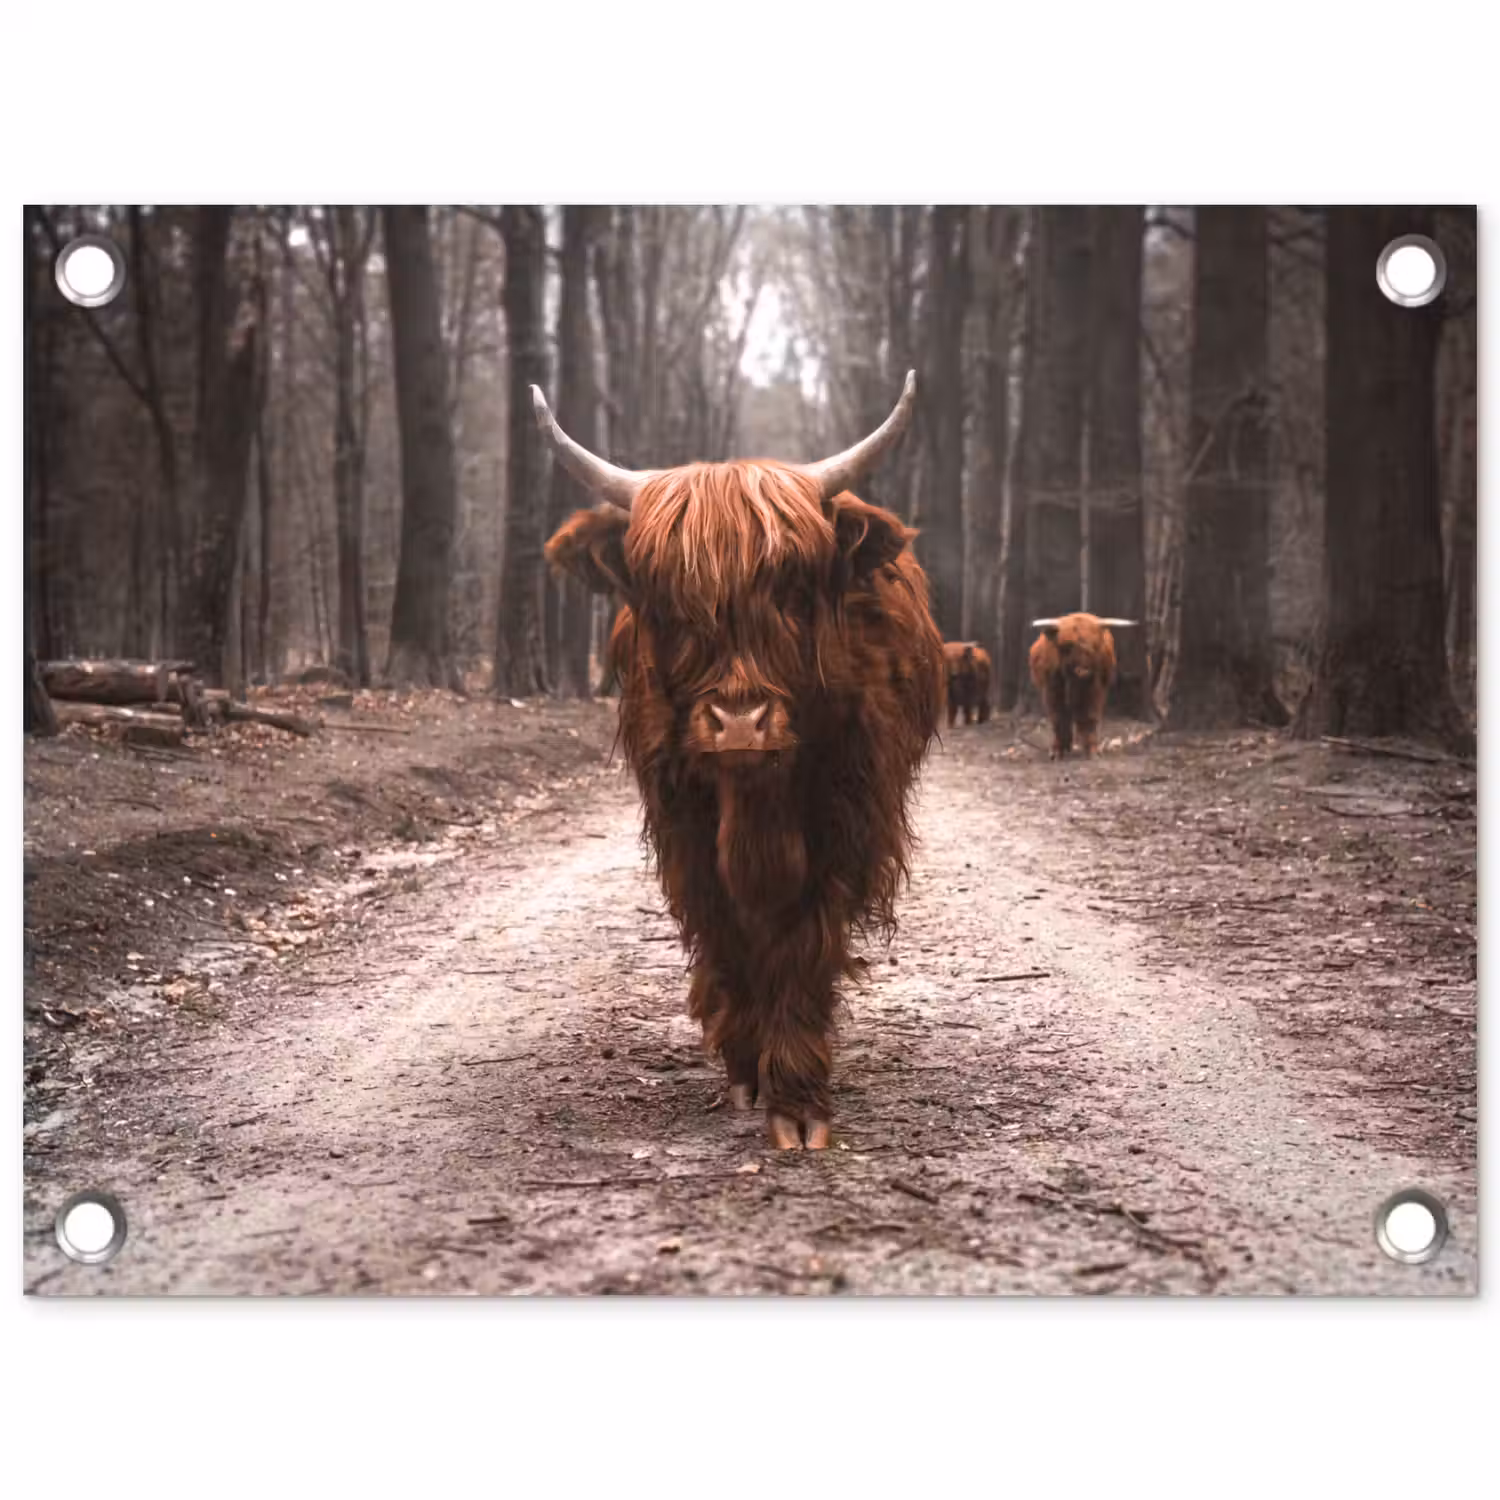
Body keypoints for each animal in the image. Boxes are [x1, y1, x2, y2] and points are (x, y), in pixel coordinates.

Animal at [539, 373, 943, 1149]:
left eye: (791, 589)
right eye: (668, 602)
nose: (739, 724)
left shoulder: (845, 820)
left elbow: (803, 940)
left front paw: (797, 1098)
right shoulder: (684, 828)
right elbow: (726, 931)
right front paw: (746, 1069)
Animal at [1028, 612, 1136, 759]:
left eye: (1094, 646)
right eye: (1067, 647)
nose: (1083, 671)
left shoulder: (1094, 690)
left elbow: (1089, 717)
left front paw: (1092, 750)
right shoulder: (1052, 690)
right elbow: (1058, 718)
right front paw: (1057, 751)